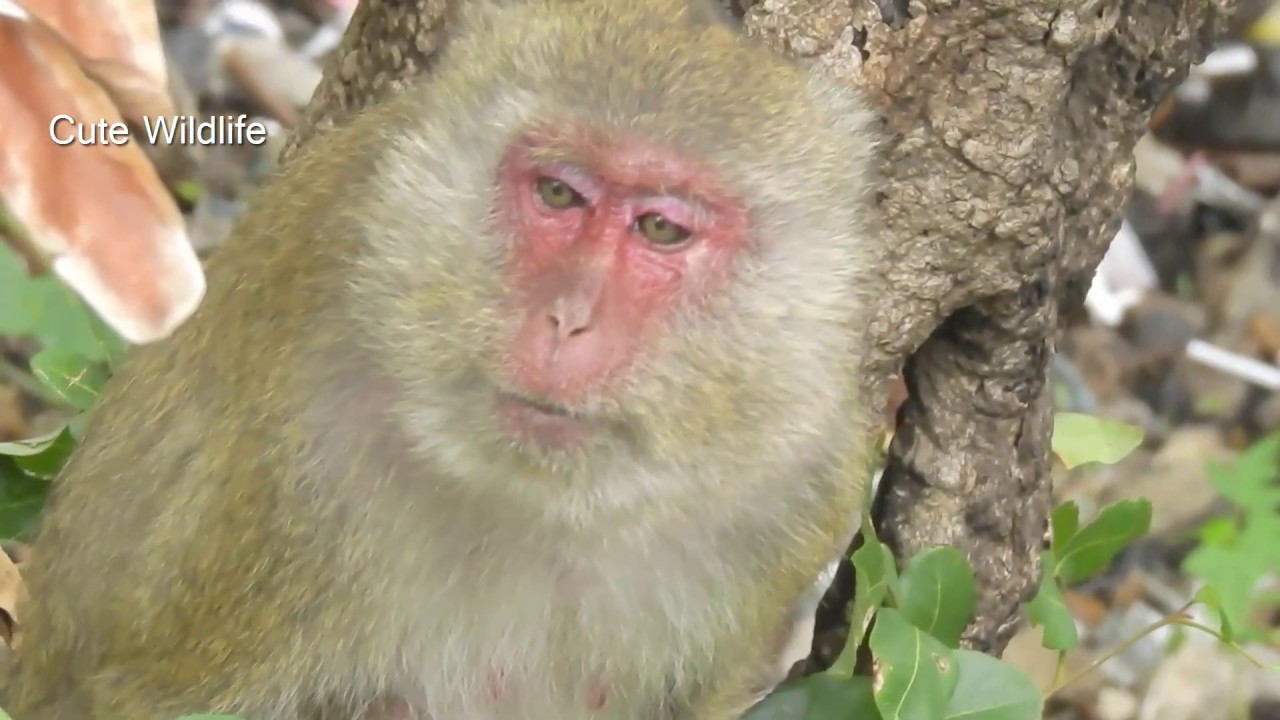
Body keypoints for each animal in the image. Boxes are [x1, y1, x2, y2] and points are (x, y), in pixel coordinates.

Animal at [0, 0, 881, 718]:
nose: (568, 319)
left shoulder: (799, 486)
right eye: (558, 194)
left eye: (661, 229)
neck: (547, 503)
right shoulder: (293, 484)